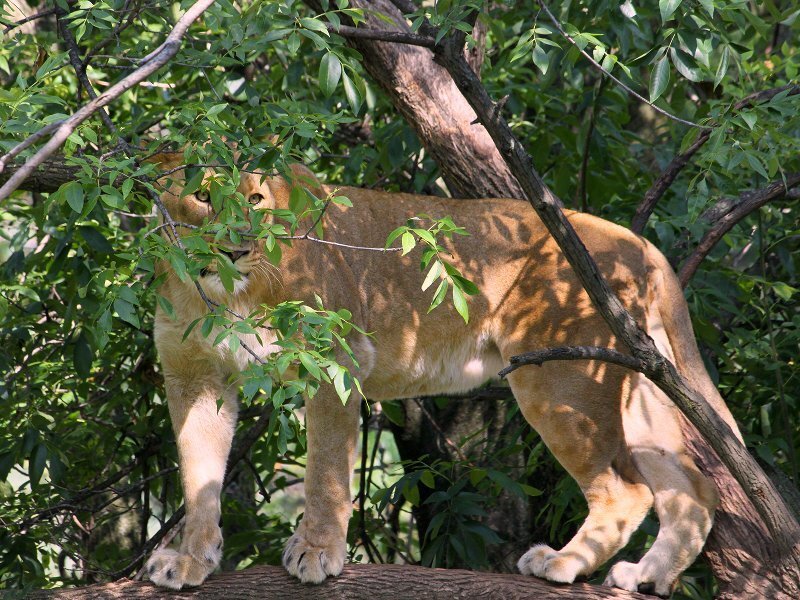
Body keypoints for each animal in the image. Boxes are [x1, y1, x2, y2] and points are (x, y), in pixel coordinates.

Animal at [144, 155, 742, 596]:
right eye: (202, 196)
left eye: (255, 201)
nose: (236, 248)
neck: (222, 294)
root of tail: (637, 242)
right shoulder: (194, 377)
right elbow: (199, 476)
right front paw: (189, 558)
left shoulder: (336, 360)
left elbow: (325, 471)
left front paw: (316, 550)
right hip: (639, 382)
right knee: (694, 488)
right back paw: (648, 576)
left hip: (560, 379)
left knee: (629, 490)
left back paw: (564, 563)